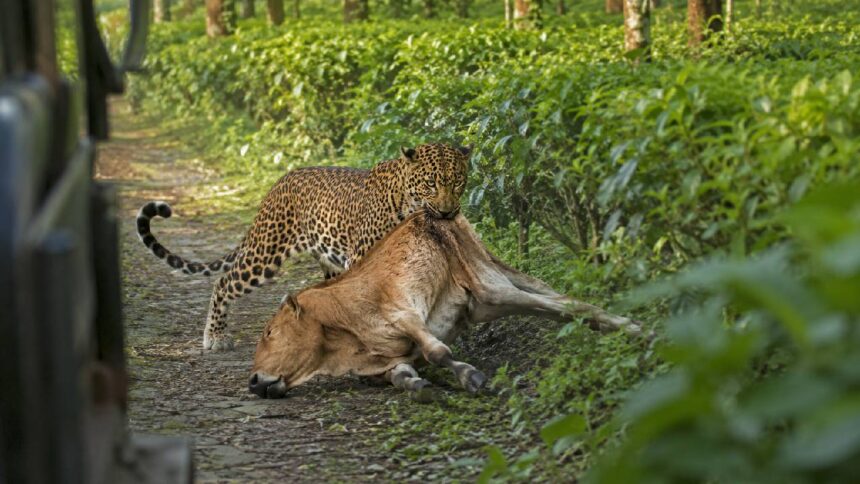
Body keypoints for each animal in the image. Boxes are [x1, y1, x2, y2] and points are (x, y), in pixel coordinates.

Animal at [136, 143, 471, 351]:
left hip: (325, 261)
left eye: (458, 182)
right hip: (265, 252)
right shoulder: (363, 258)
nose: (447, 212)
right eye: (430, 183)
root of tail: (279, 182)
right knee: (225, 281)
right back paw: (215, 337)